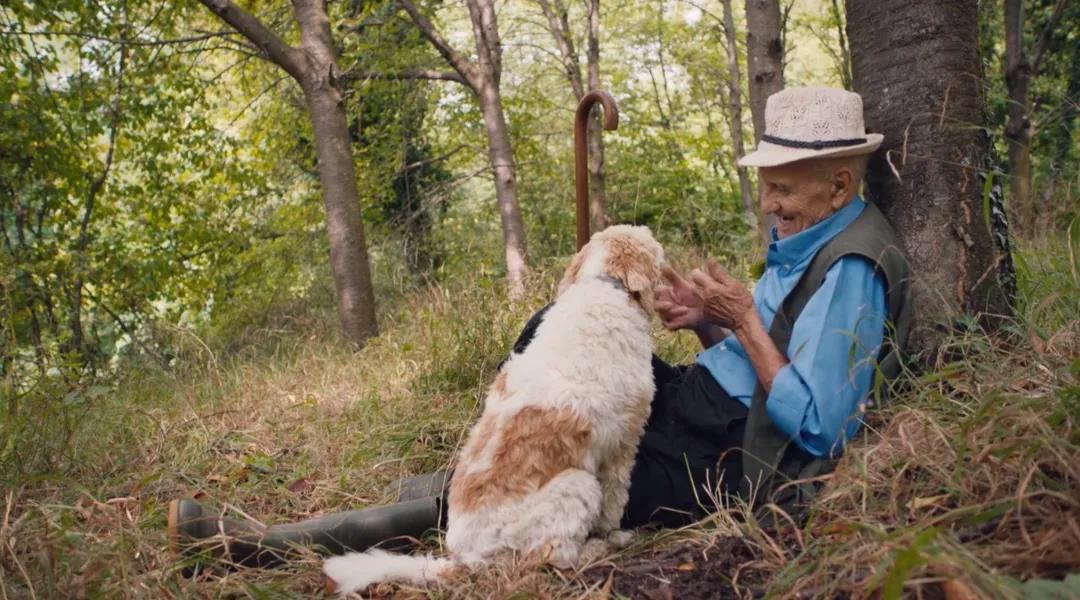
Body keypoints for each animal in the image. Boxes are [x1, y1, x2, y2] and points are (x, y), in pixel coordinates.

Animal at [321, 226, 665, 595]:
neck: (603, 286)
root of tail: (466, 559)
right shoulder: (622, 447)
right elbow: (615, 501)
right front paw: (613, 532)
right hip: (577, 484)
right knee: (551, 557)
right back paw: (598, 548)